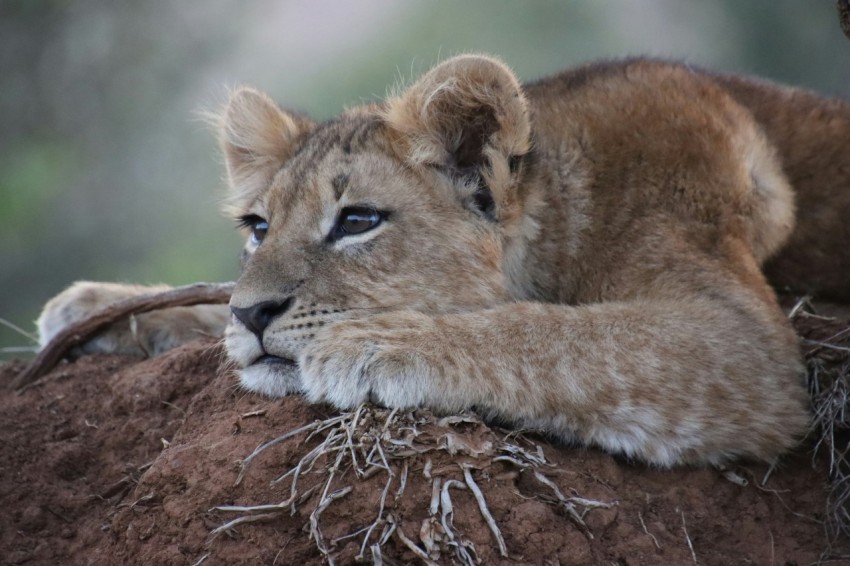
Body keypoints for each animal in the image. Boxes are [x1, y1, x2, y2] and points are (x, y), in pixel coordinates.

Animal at [37, 55, 850, 467]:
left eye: (357, 221)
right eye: (258, 227)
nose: (254, 314)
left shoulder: (742, 344)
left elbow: (560, 331)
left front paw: (376, 344)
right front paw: (95, 309)